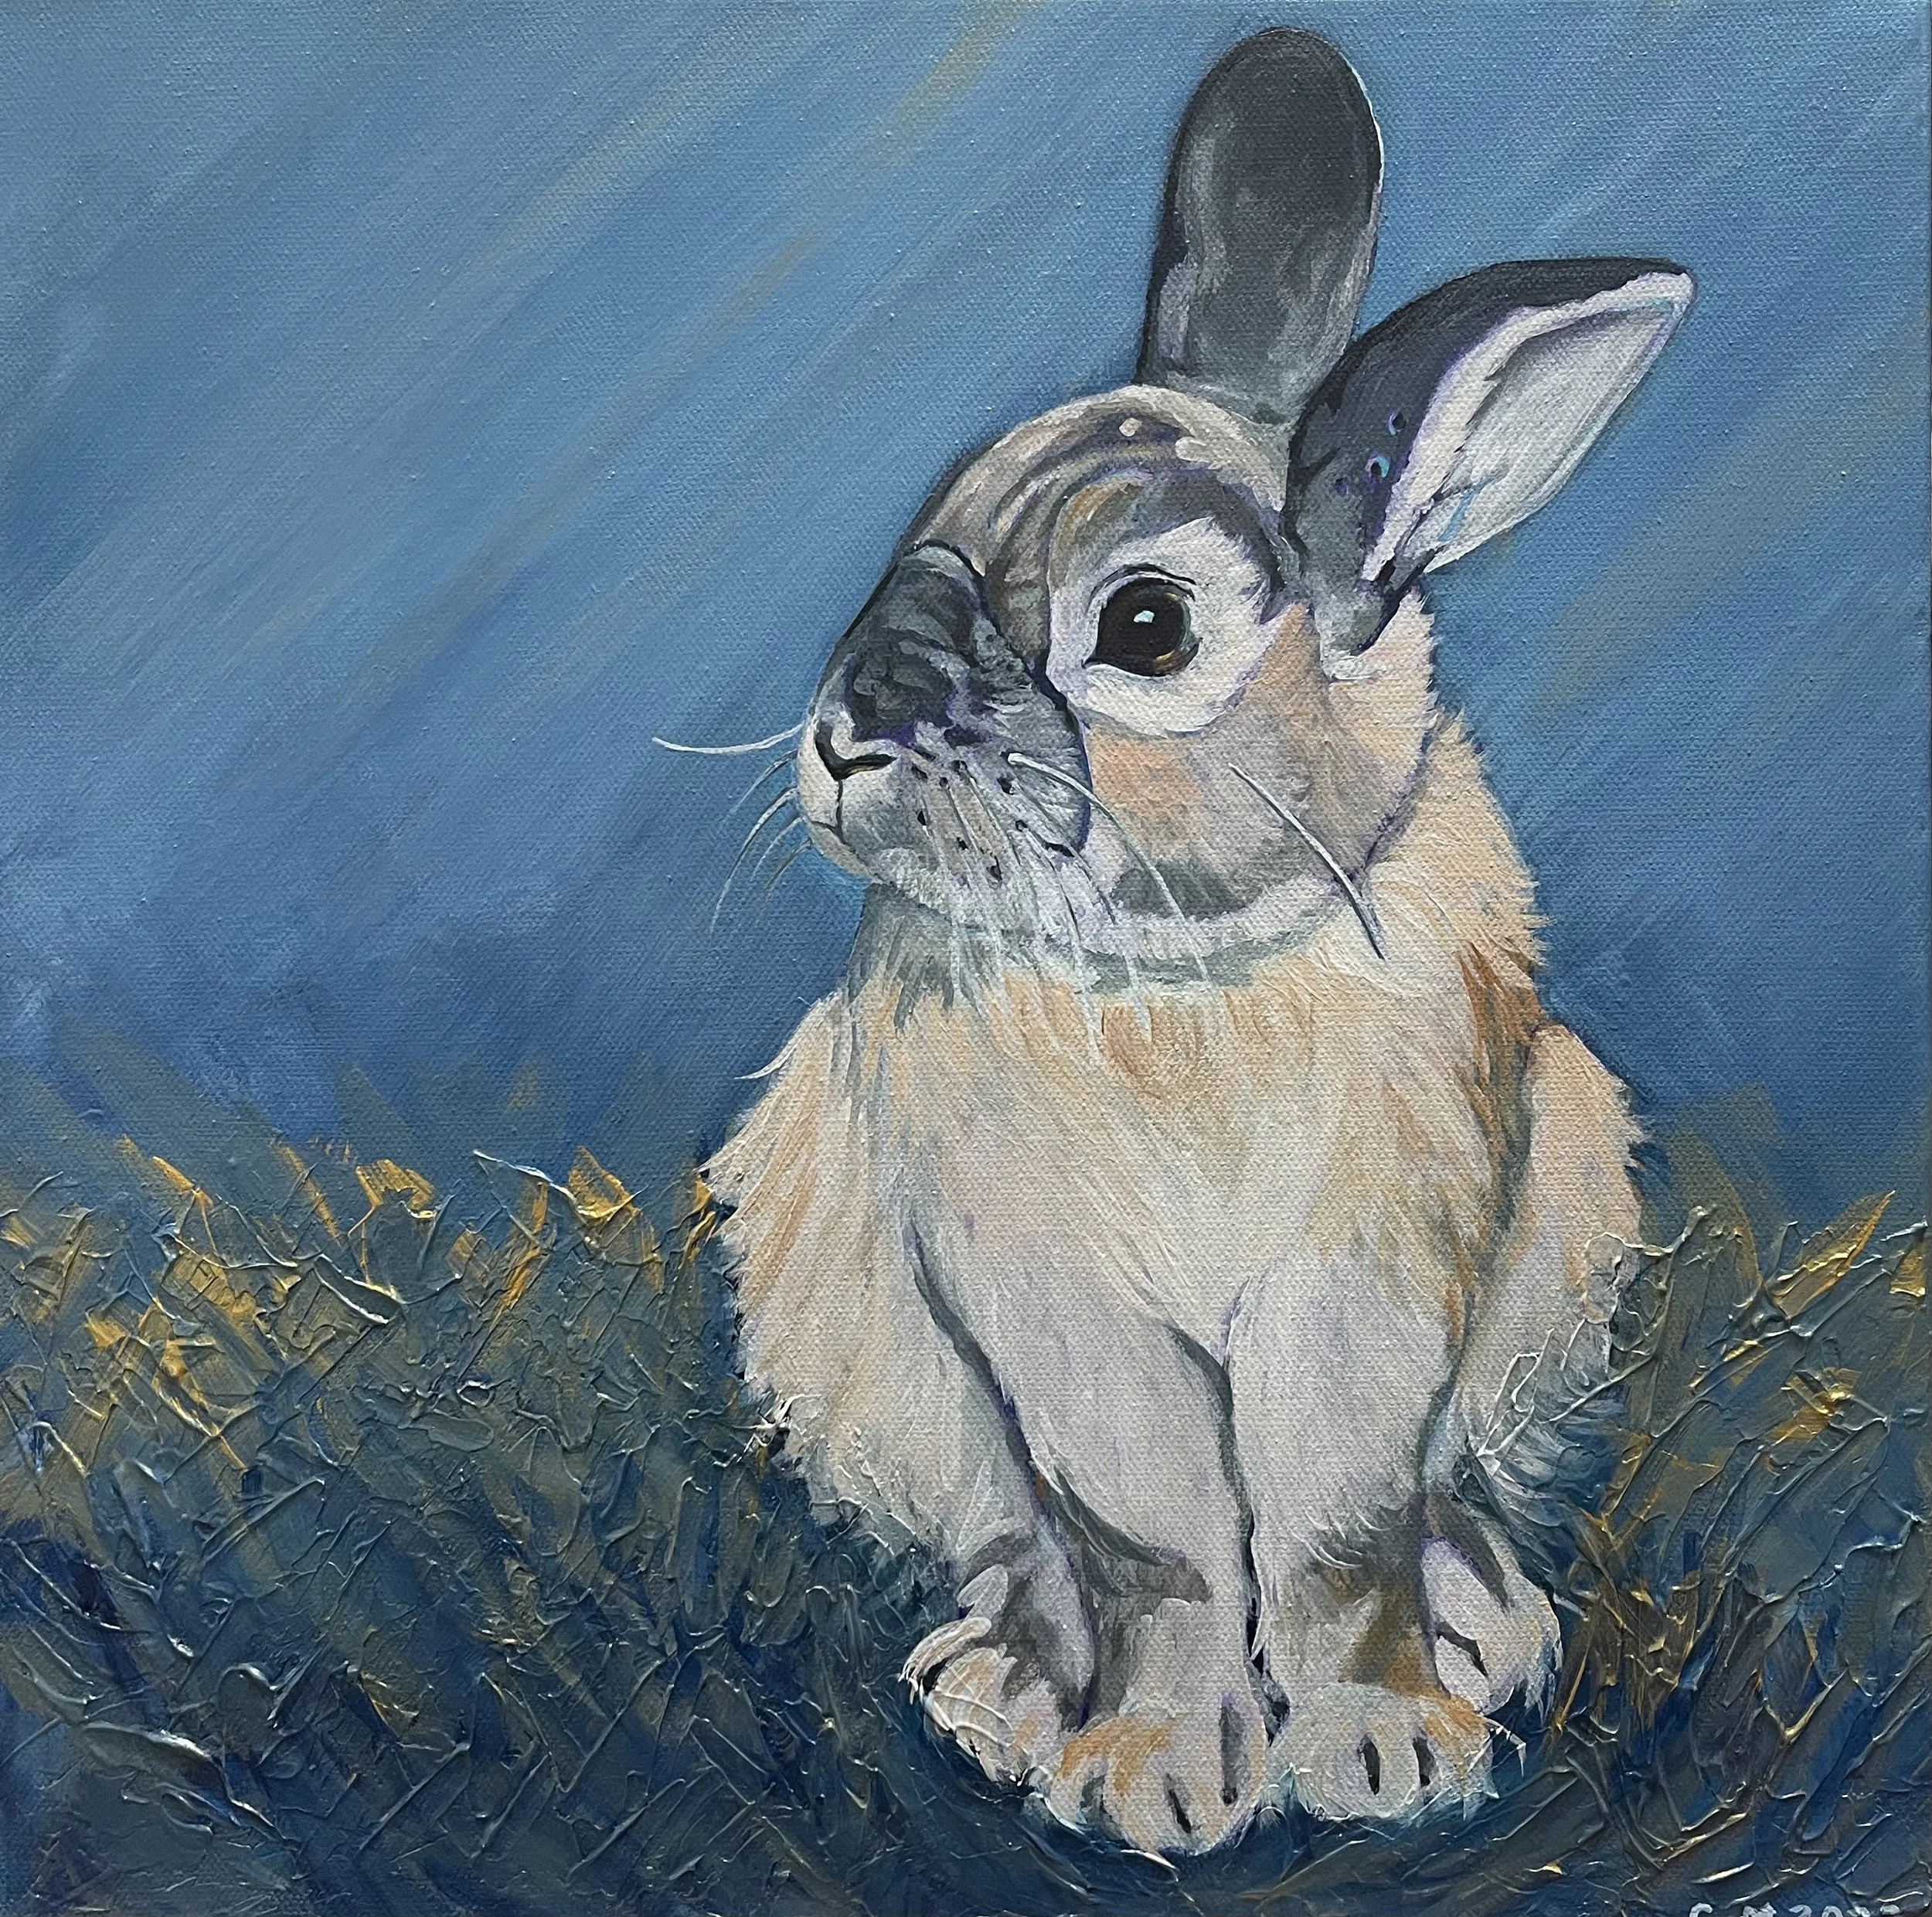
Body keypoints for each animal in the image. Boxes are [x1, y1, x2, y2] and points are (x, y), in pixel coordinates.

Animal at [704, 27, 1687, 1856]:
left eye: (1145, 627)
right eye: (935, 518)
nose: (853, 726)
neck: (1174, 975)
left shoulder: (1372, 1274)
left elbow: (1336, 1525)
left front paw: (1384, 1748)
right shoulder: (1049, 1302)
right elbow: (1150, 1542)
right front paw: (1152, 1773)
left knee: (1440, 1495)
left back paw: (1485, 1622)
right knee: (1014, 1546)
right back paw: (1001, 1688)